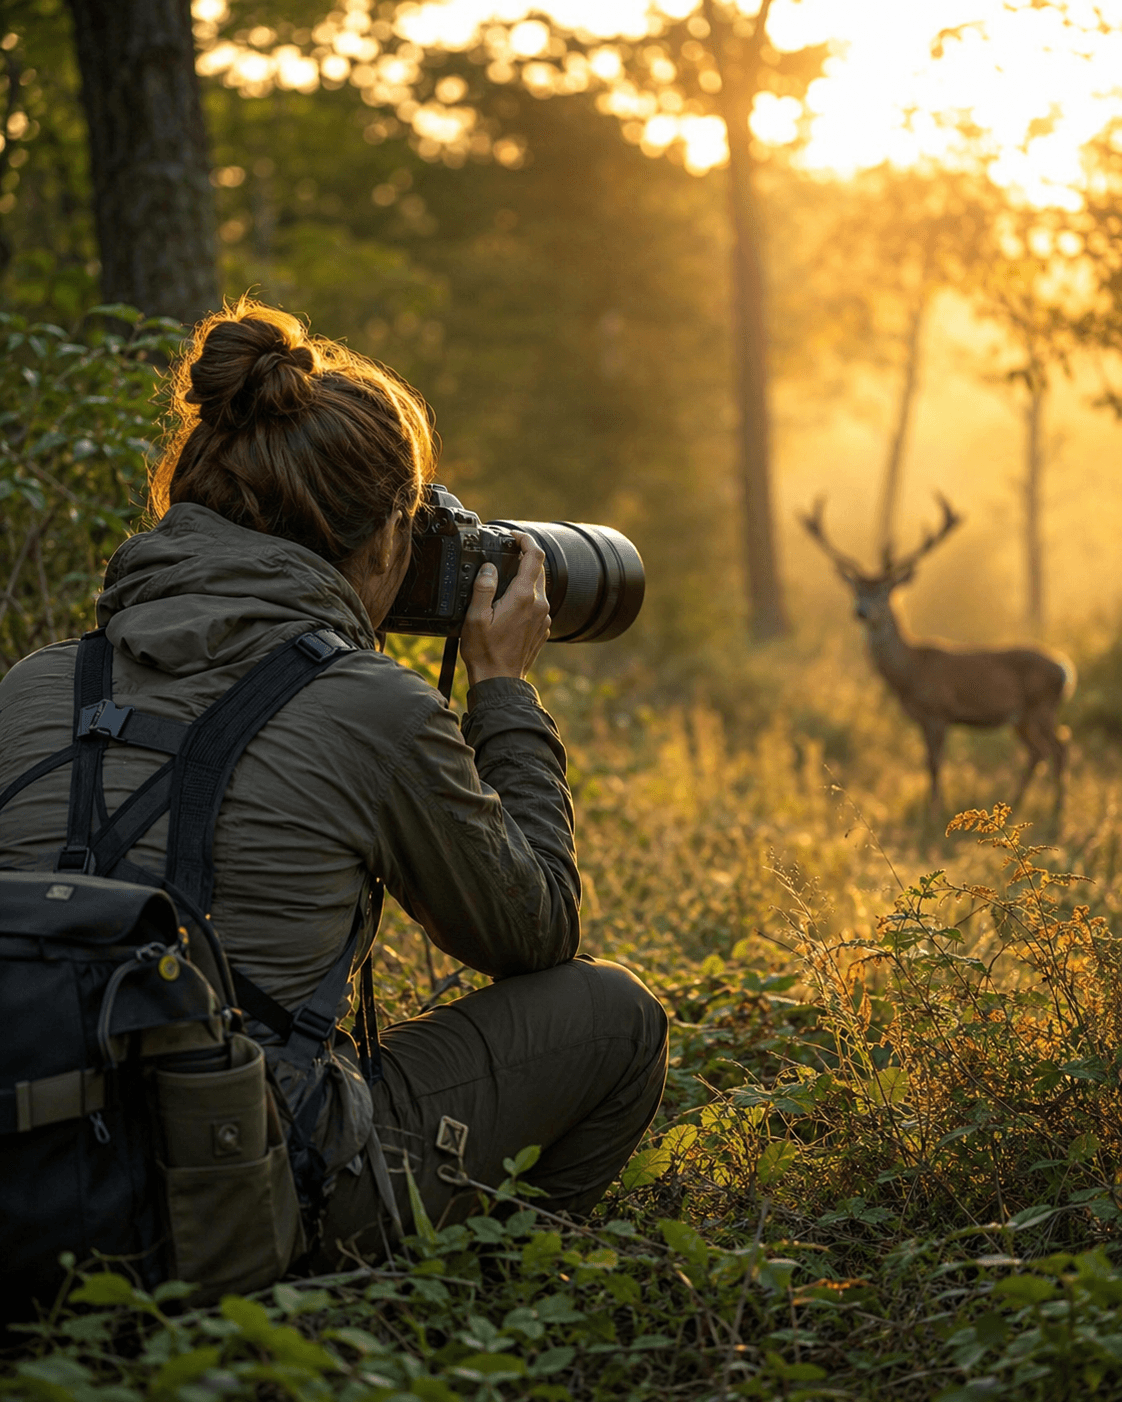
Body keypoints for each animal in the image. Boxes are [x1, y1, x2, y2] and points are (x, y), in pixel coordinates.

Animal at [799, 495, 1076, 814]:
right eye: (856, 589)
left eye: (885, 590)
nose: (861, 611)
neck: (911, 672)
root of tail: (1065, 668)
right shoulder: (920, 717)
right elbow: (926, 762)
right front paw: (930, 808)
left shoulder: (938, 712)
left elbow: (935, 764)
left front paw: (934, 812)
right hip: (1022, 718)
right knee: (1039, 751)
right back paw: (1018, 803)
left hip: (1041, 706)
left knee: (1059, 748)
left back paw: (1058, 810)